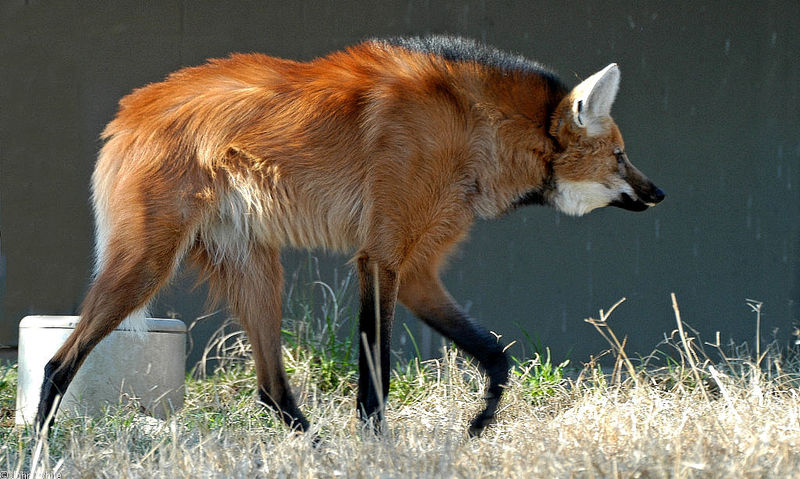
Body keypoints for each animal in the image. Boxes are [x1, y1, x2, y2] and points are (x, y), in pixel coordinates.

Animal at [36, 35, 664, 436]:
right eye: (620, 155)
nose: (658, 192)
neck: (474, 128)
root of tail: (127, 115)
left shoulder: (415, 270)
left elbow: (496, 356)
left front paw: (479, 424)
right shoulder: (381, 258)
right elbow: (377, 368)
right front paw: (377, 442)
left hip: (257, 271)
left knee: (270, 388)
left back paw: (316, 447)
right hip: (146, 263)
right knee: (57, 365)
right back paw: (39, 449)